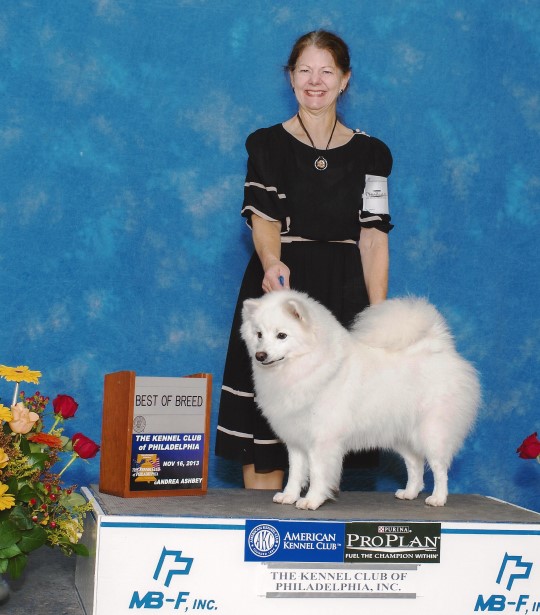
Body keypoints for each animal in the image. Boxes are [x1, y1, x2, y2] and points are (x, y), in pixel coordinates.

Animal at [240, 292, 480, 512]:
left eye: (282, 335)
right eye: (259, 334)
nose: (260, 355)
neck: (309, 365)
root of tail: (440, 347)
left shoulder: (322, 440)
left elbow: (317, 472)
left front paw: (311, 500)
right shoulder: (296, 439)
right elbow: (296, 472)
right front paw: (289, 496)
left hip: (432, 431)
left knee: (439, 468)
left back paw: (438, 498)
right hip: (402, 434)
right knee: (415, 464)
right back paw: (410, 493)